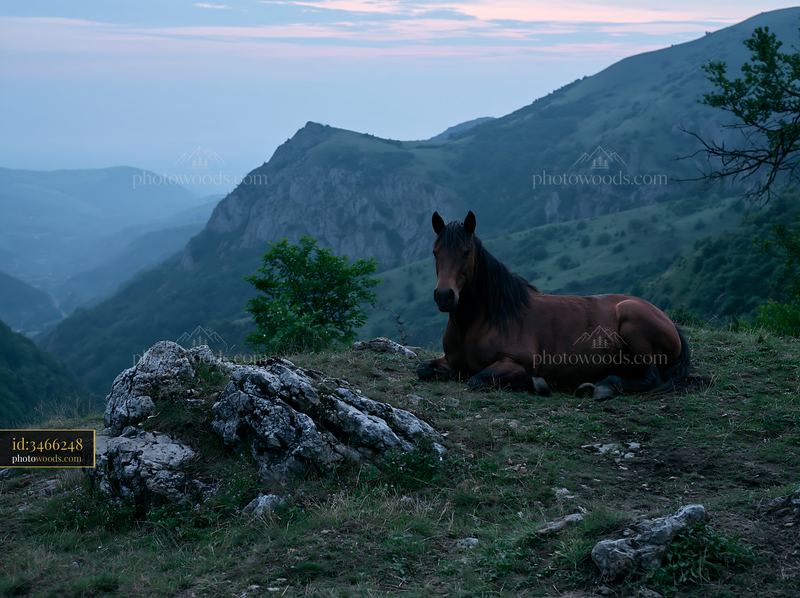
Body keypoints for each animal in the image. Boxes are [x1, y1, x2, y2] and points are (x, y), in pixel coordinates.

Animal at [416, 211, 690, 400]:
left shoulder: (516, 362)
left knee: (651, 378)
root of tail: (668, 321)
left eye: (466, 252)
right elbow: (423, 369)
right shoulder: (451, 362)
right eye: (435, 252)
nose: (444, 295)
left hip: (633, 323)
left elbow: (477, 379)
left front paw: (536, 384)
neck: (482, 321)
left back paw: (603, 386)